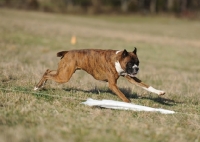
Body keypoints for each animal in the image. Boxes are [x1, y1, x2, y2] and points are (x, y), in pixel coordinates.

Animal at [34, 47, 165, 102]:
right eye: (130, 63)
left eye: (137, 63)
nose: (136, 69)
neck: (117, 59)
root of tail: (67, 52)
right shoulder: (112, 85)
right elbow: (123, 96)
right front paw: (129, 104)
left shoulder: (130, 77)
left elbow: (146, 86)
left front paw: (160, 92)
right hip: (64, 76)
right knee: (47, 74)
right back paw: (37, 87)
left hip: (63, 72)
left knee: (48, 71)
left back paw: (41, 85)